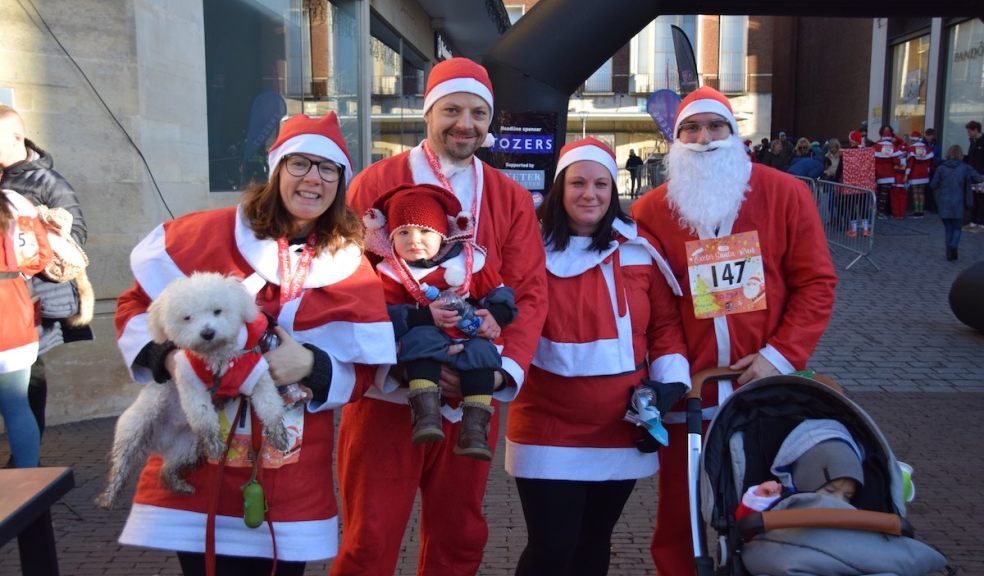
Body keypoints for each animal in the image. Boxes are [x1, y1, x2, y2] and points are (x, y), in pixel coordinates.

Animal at [98, 272, 290, 506]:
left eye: (217, 310)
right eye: (187, 317)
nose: (207, 332)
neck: (219, 360)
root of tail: (160, 441)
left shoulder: (256, 375)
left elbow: (270, 407)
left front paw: (278, 435)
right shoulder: (190, 383)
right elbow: (203, 416)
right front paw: (215, 443)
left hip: (187, 449)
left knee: (167, 471)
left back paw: (179, 485)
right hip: (134, 431)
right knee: (121, 467)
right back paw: (109, 496)